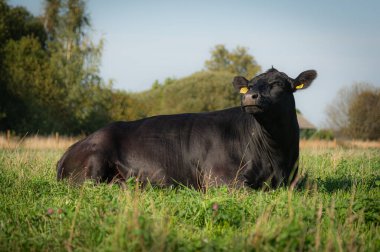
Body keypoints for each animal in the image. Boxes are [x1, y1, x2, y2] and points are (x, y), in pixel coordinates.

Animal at [57, 68, 318, 188]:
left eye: (278, 84)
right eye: (250, 85)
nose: (248, 97)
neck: (275, 153)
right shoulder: (222, 179)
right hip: (92, 166)